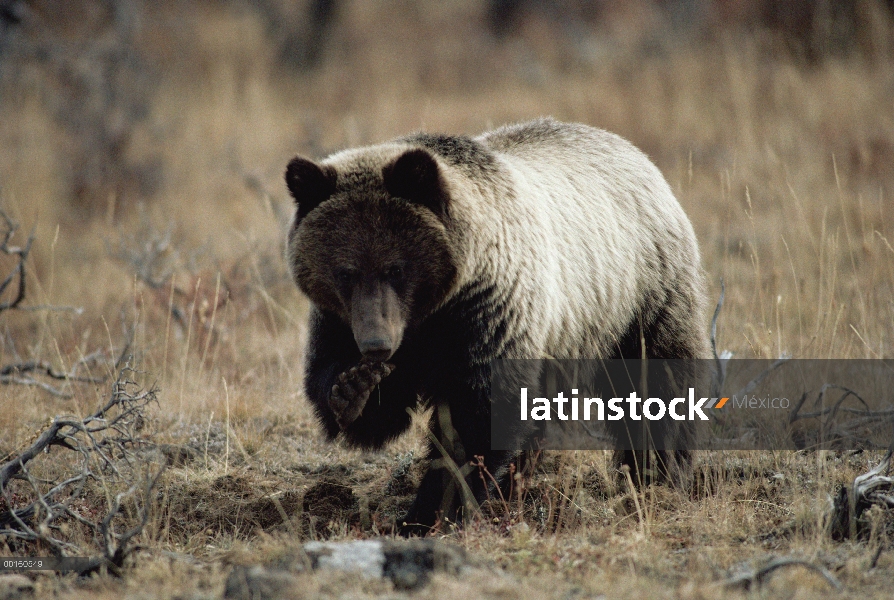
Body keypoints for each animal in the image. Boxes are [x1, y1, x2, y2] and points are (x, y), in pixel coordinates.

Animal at [286, 117, 708, 536]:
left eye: (396, 268)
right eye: (345, 272)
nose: (376, 344)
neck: (435, 309)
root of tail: (634, 152)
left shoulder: (486, 314)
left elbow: (477, 416)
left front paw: (426, 514)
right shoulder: (344, 321)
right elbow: (363, 399)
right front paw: (352, 387)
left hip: (637, 296)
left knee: (655, 383)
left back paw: (656, 478)